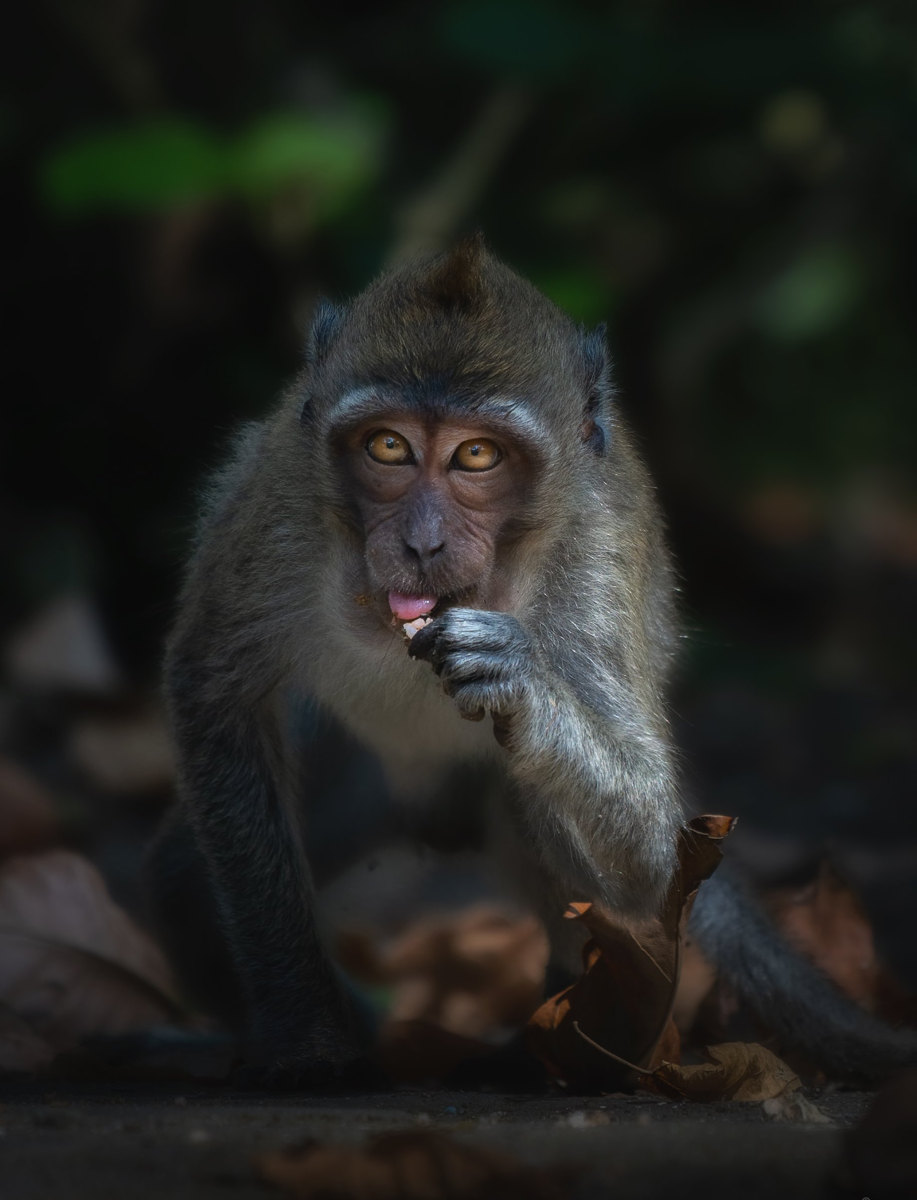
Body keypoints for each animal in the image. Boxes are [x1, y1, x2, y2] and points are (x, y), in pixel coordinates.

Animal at [149, 236, 917, 1086]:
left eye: (476, 456)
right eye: (388, 446)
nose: (421, 543)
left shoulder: (596, 545)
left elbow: (649, 853)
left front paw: (522, 681)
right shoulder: (278, 504)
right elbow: (215, 690)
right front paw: (306, 1036)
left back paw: (588, 1039)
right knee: (180, 881)